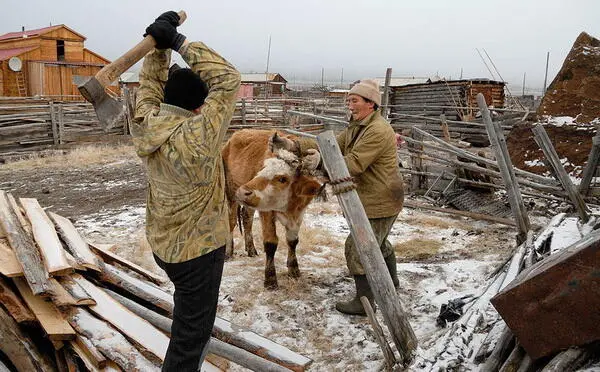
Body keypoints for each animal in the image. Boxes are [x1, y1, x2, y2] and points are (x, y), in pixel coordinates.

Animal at [220, 129, 324, 290]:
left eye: (282, 178)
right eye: (263, 169)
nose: (243, 192)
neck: (289, 207)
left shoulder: (299, 213)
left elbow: (292, 241)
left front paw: (294, 269)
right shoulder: (267, 212)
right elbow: (270, 243)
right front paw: (270, 279)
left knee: (247, 218)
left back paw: (251, 249)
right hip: (230, 193)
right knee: (231, 222)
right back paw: (228, 252)